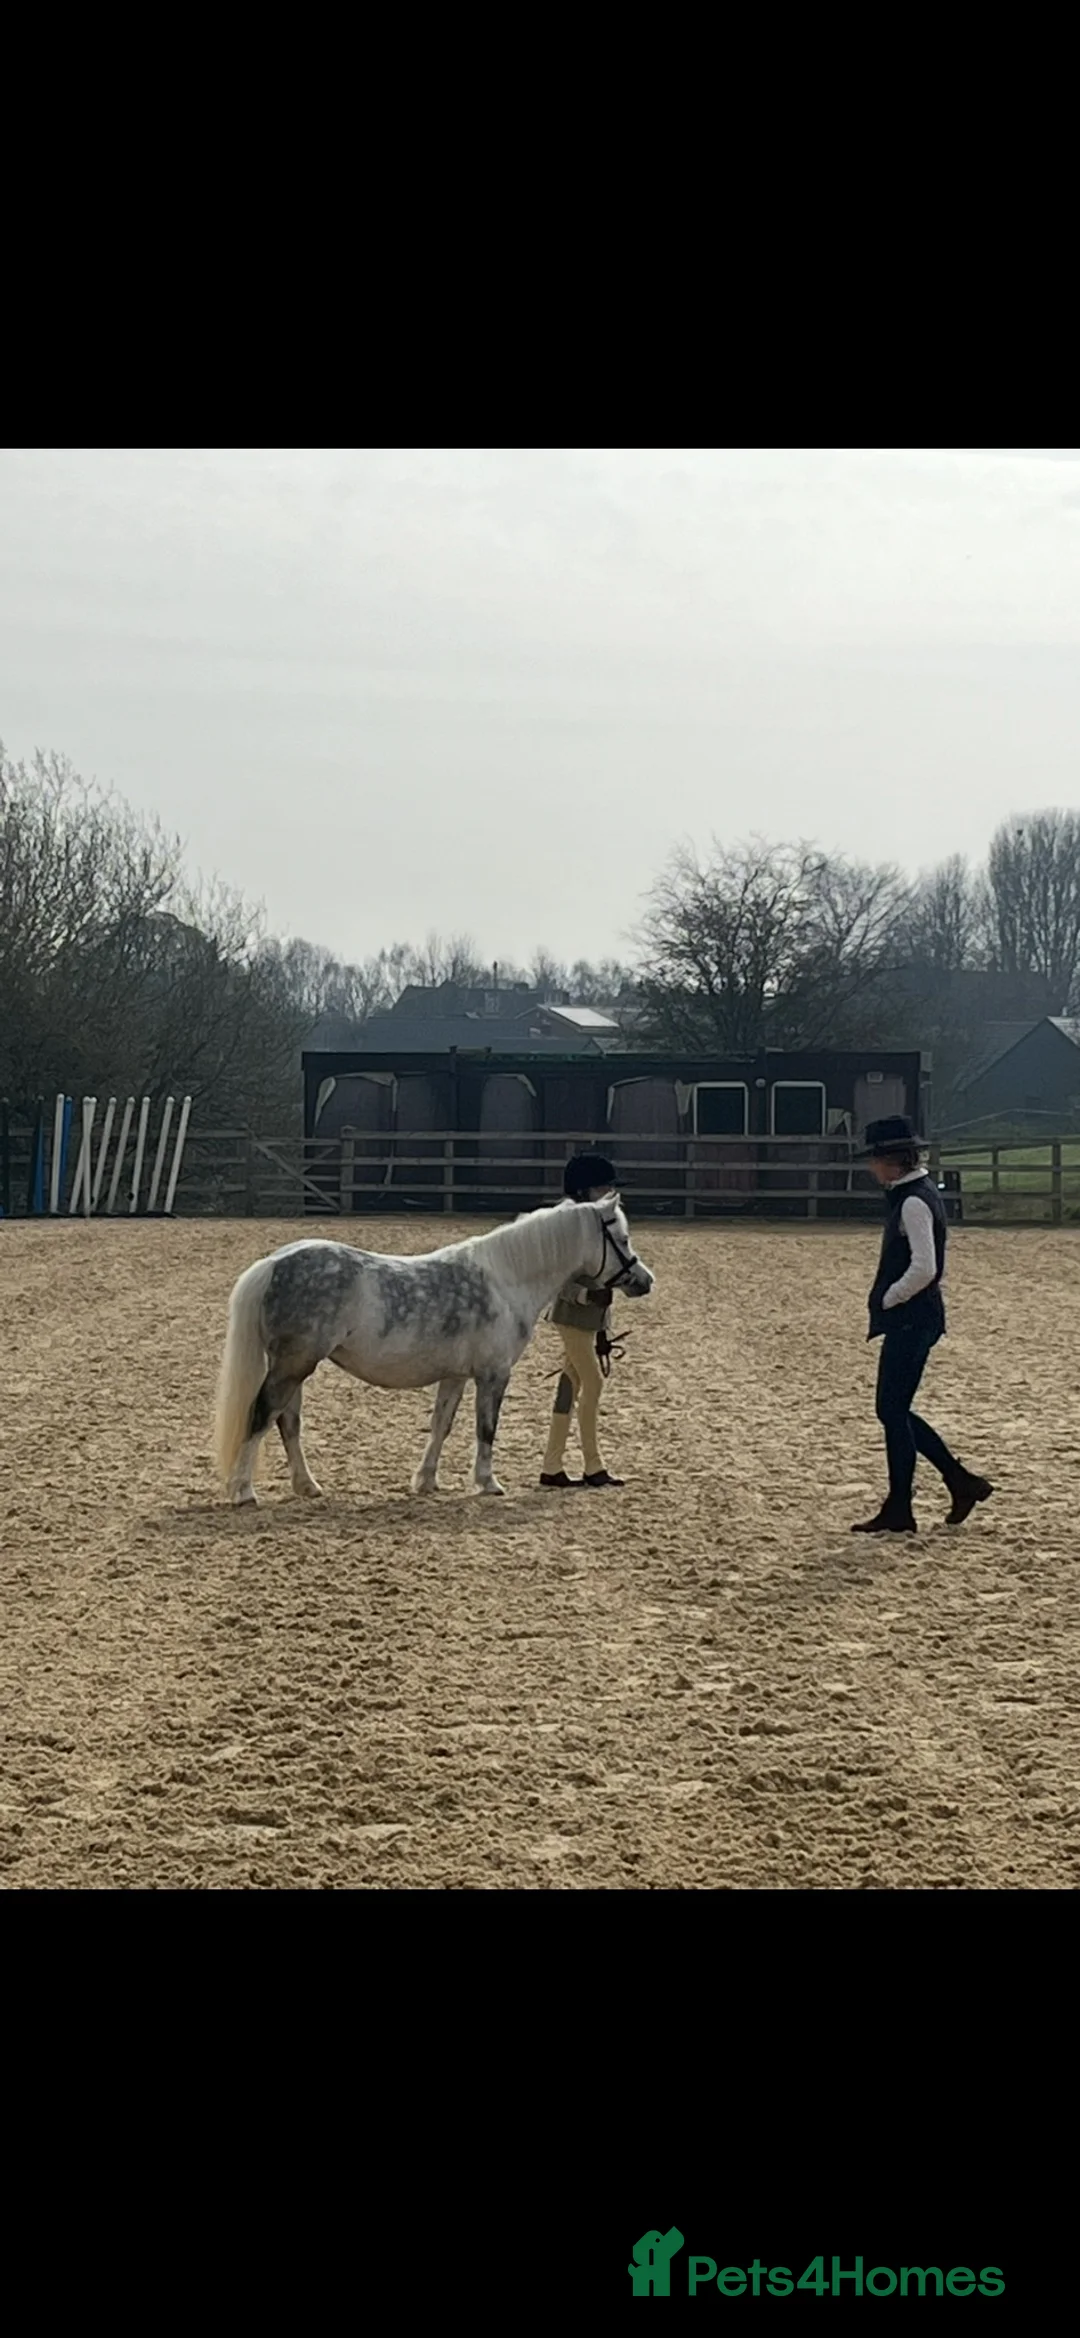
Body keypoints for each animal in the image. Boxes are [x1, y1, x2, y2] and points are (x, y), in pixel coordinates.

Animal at [212, 1193, 654, 1506]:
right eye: (621, 1237)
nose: (645, 1280)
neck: (506, 1280)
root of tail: (274, 1262)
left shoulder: (455, 1376)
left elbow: (442, 1424)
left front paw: (426, 1481)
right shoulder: (493, 1375)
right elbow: (486, 1428)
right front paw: (488, 1483)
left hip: (296, 1367)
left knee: (288, 1423)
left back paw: (307, 1486)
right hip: (292, 1366)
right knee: (263, 1415)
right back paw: (243, 1491)